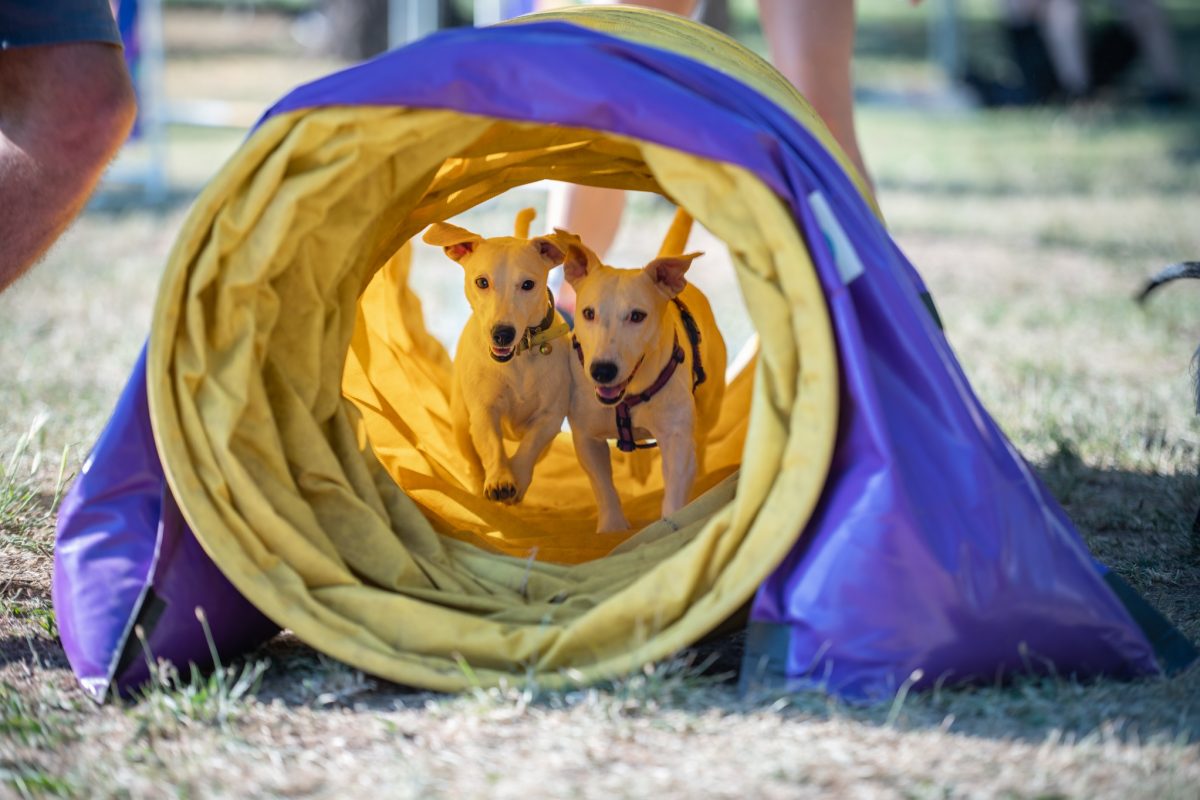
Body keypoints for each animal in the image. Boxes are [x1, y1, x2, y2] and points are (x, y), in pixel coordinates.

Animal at [422, 209, 571, 503]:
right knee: (471, 457)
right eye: (482, 282)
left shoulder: (551, 417)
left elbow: (531, 446)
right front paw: (500, 478)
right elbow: (491, 446)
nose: (502, 333)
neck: (519, 359)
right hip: (460, 419)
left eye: (528, 284)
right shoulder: (484, 411)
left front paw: (517, 477)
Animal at [556, 231, 724, 532]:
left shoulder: (676, 438)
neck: (627, 397)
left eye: (637, 316)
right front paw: (612, 527)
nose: (602, 371)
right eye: (588, 313)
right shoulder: (587, 438)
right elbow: (603, 486)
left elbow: (676, 488)